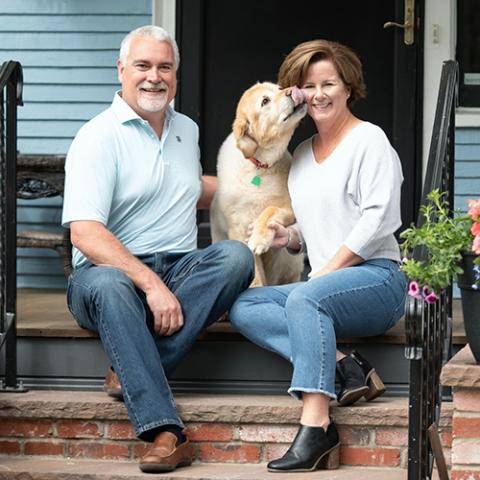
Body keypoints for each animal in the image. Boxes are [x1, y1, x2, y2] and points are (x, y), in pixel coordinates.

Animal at [211, 82, 308, 284]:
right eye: (265, 101)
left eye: (278, 88)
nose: (292, 89)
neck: (261, 166)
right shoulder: (238, 230)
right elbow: (255, 278)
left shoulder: (289, 208)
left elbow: (269, 210)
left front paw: (259, 237)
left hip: (289, 262)